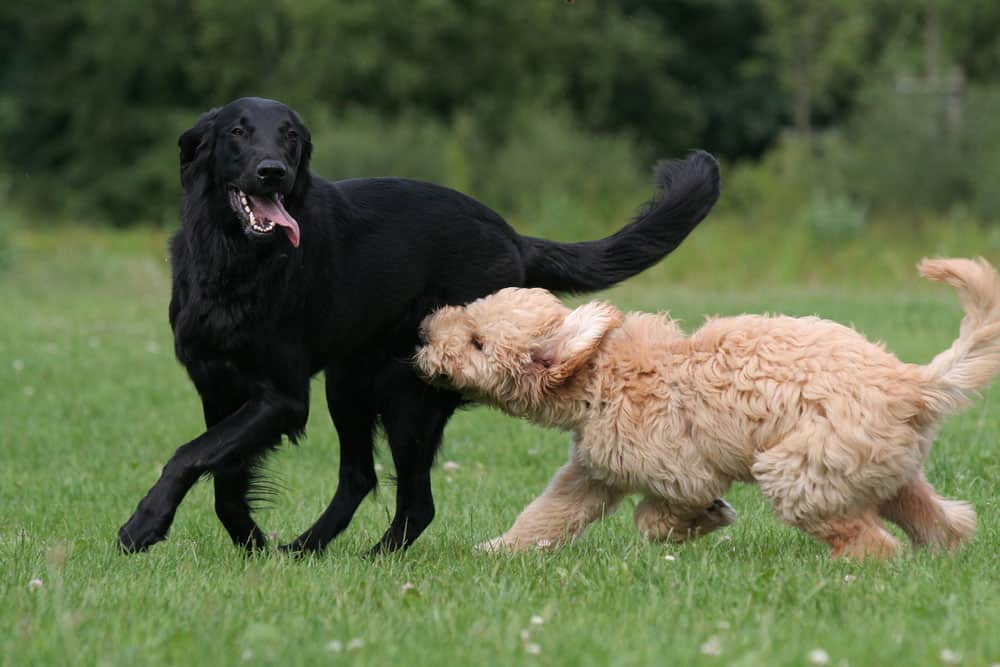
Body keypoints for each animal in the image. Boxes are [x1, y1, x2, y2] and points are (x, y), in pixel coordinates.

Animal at [119, 96, 720, 556]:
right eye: (238, 131)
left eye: (290, 137)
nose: (273, 171)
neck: (236, 263)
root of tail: (513, 237)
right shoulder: (217, 384)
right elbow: (221, 472)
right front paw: (251, 540)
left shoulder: (282, 396)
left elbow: (191, 454)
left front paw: (142, 525)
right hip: (348, 382)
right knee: (360, 477)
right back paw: (305, 549)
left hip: (408, 390)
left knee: (416, 501)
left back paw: (371, 557)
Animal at [414, 258, 1000, 560]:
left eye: (477, 343)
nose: (425, 330)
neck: (601, 369)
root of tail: (911, 383)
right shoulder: (593, 472)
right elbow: (547, 513)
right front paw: (498, 549)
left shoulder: (683, 473)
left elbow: (656, 516)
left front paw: (707, 518)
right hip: (885, 472)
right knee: (944, 521)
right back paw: (940, 552)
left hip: (798, 471)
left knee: (872, 542)